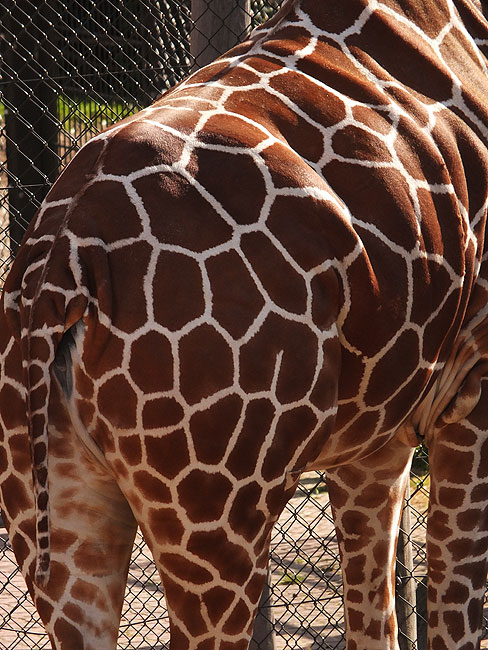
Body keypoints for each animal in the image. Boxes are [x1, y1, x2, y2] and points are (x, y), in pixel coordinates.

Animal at [0, 0, 488, 644]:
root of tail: (65, 257)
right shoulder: (471, 389)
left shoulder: (374, 443)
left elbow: (376, 616)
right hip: (216, 512)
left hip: (52, 511)